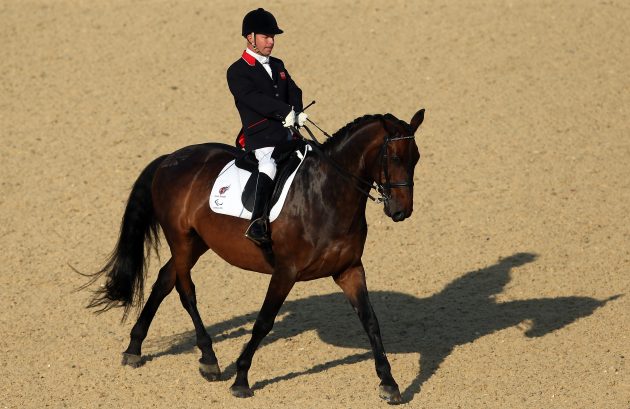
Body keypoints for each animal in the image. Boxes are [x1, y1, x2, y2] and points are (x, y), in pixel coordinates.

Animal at [85, 107, 424, 402]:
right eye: (394, 156)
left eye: (417, 158)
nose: (401, 211)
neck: (327, 195)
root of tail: (171, 158)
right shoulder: (286, 271)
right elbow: (263, 321)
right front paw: (241, 379)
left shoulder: (350, 269)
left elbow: (371, 322)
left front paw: (389, 383)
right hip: (181, 239)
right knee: (185, 290)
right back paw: (208, 358)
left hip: (197, 242)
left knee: (165, 280)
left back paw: (134, 348)